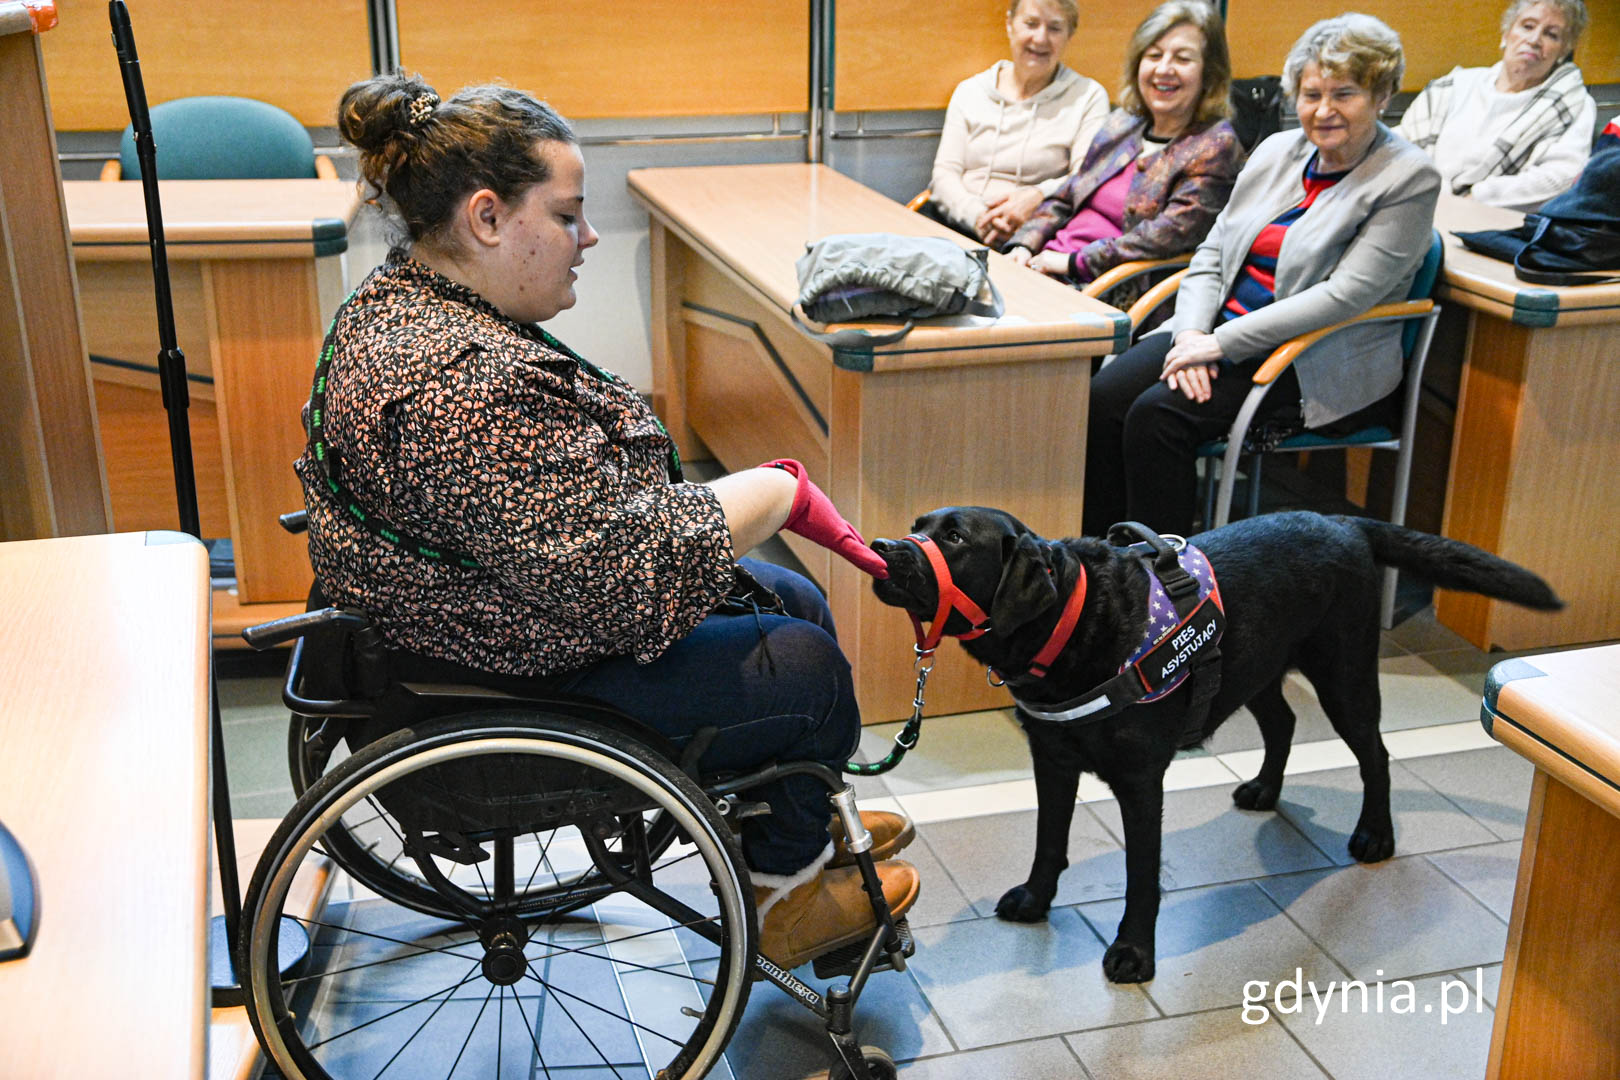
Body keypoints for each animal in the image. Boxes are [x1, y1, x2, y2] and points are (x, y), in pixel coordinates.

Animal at [868, 511, 1561, 984]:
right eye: (916, 526)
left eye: (955, 539)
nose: (881, 546)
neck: (1072, 621)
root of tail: (1342, 519)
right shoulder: (1053, 760)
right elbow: (1048, 841)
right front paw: (1037, 900)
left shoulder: (1140, 782)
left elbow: (1141, 876)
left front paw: (1133, 953)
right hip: (1254, 666)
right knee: (1283, 723)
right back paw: (1265, 790)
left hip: (1344, 676)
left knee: (1376, 756)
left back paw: (1375, 836)